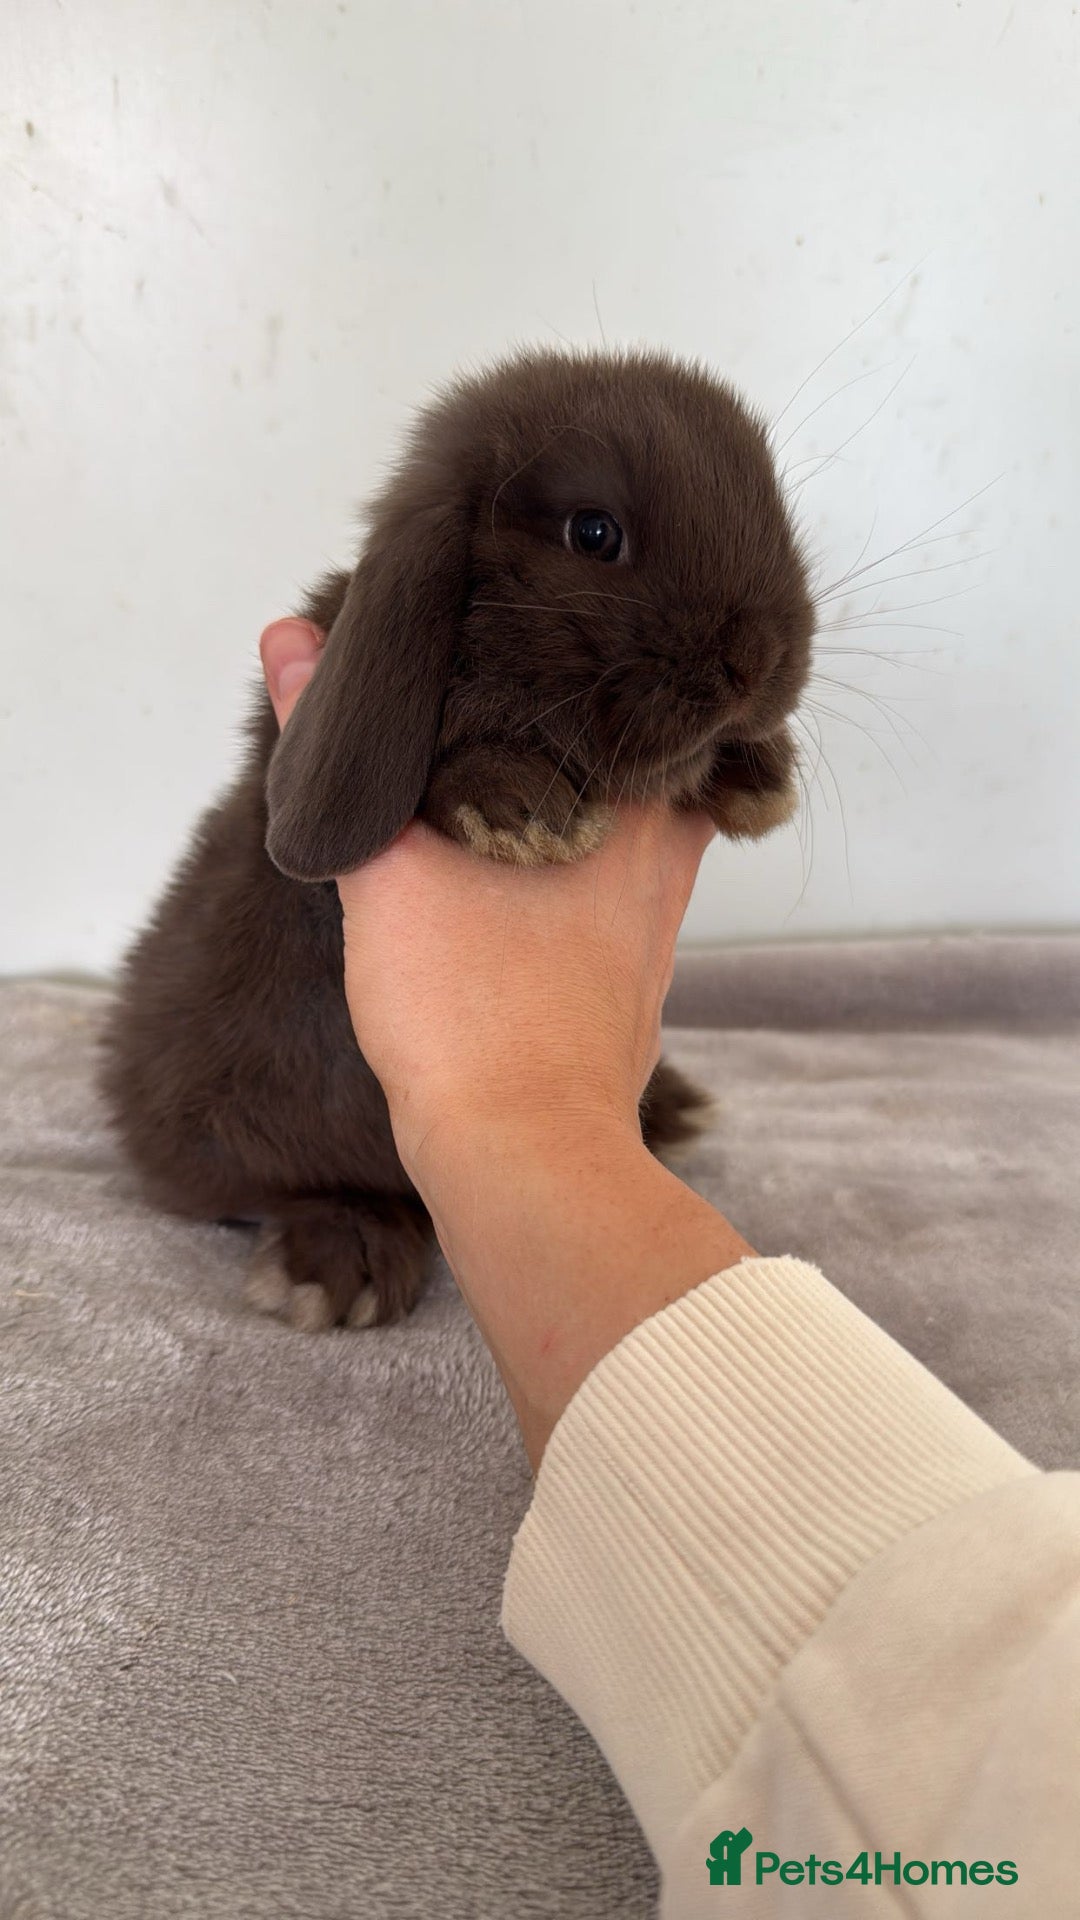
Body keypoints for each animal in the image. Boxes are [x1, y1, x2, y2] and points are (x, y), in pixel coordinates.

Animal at [100, 346, 814, 1333]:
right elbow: (445, 768)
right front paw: (525, 808)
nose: (759, 661)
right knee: (291, 1181)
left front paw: (760, 775)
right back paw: (344, 1257)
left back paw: (666, 1108)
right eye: (594, 532)